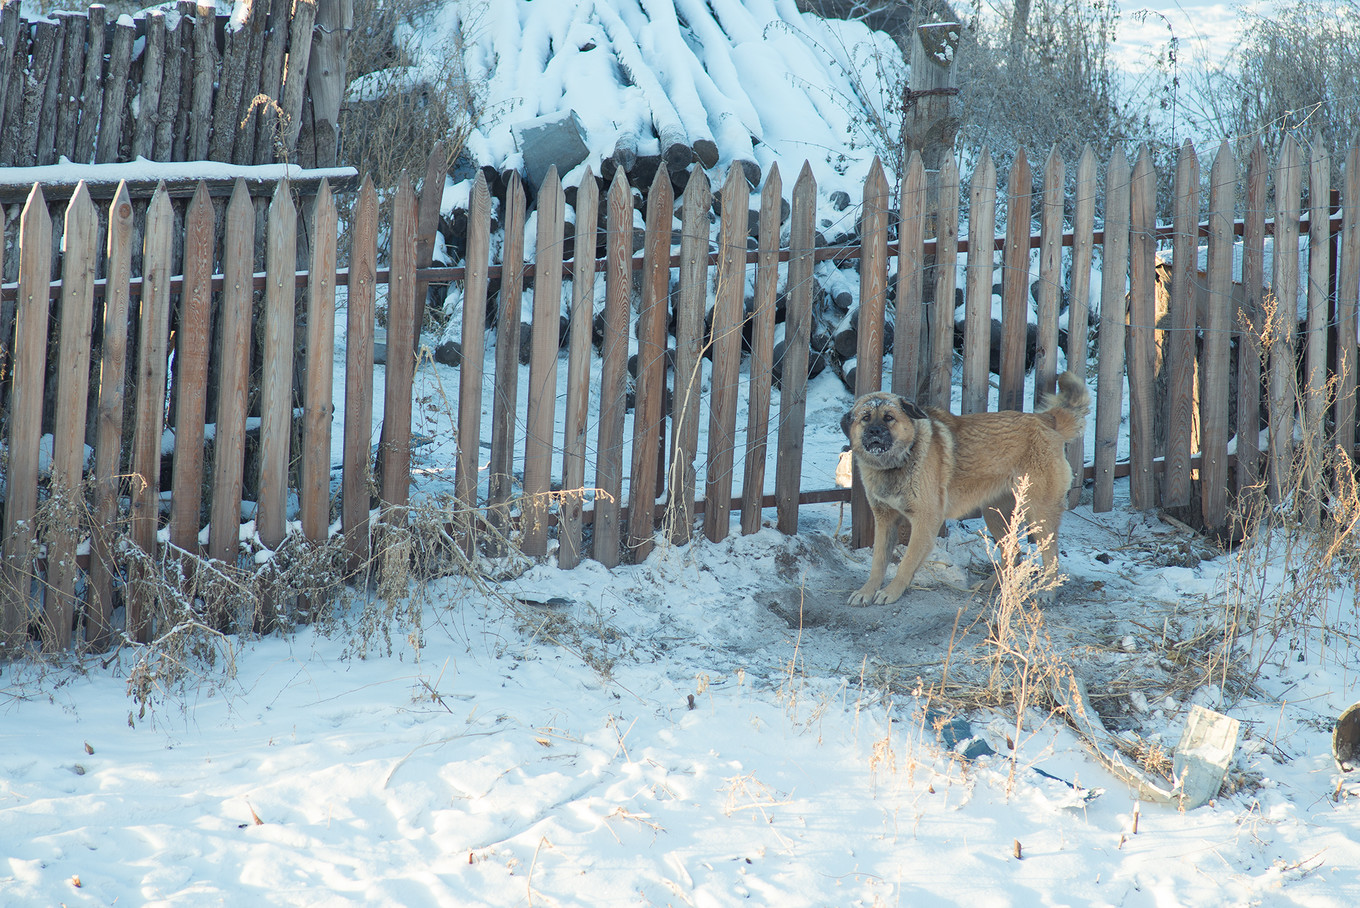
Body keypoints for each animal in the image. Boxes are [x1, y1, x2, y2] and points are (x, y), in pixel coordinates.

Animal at [843, 372, 1088, 606]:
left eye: (889, 418)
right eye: (865, 418)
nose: (874, 431)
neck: (897, 462)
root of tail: (1046, 419)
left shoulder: (925, 521)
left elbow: (906, 562)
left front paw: (891, 592)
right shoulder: (885, 521)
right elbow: (878, 563)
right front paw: (866, 591)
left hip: (1038, 512)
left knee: (1050, 555)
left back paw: (1047, 592)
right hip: (994, 513)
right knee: (1013, 553)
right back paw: (993, 585)